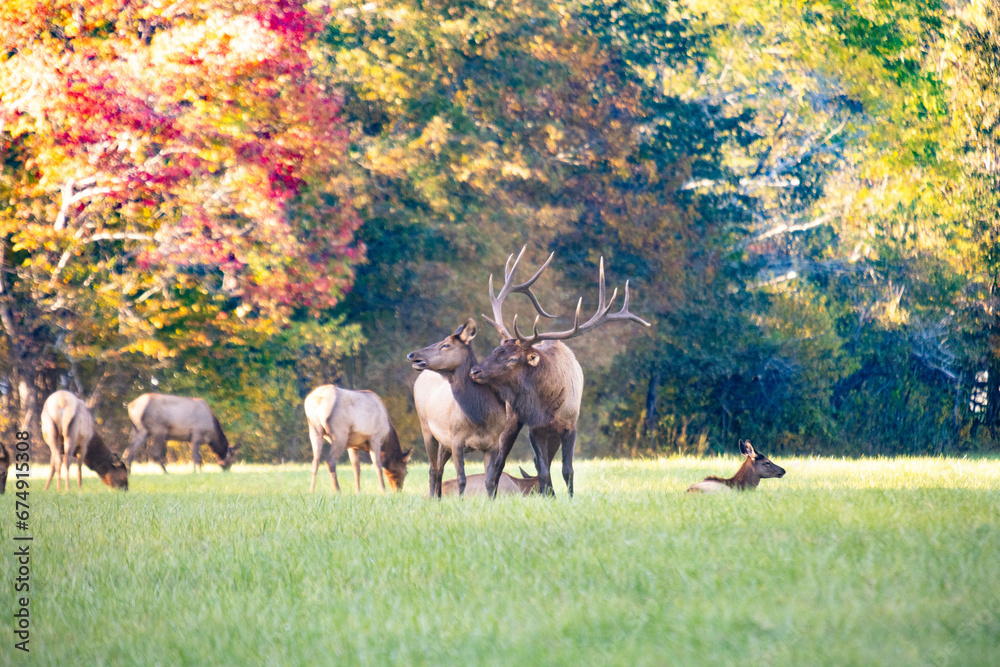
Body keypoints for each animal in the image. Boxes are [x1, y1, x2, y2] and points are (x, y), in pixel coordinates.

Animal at [407, 318, 520, 498]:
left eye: (445, 345)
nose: (412, 355)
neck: (478, 417)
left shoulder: (492, 443)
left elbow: (489, 481)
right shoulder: (456, 441)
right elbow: (461, 479)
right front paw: (459, 501)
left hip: (444, 442)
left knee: (439, 469)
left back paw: (438, 498)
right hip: (426, 428)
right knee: (433, 468)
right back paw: (432, 498)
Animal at [470, 247, 650, 497]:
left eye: (513, 359)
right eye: (495, 350)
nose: (475, 370)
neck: (549, 405)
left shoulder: (570, 424)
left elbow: (567, 469)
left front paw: (568, 498)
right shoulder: (535, 428)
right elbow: (544, 470)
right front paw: (550, 496)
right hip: (510, 417)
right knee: (499, 464)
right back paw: (494, 496)